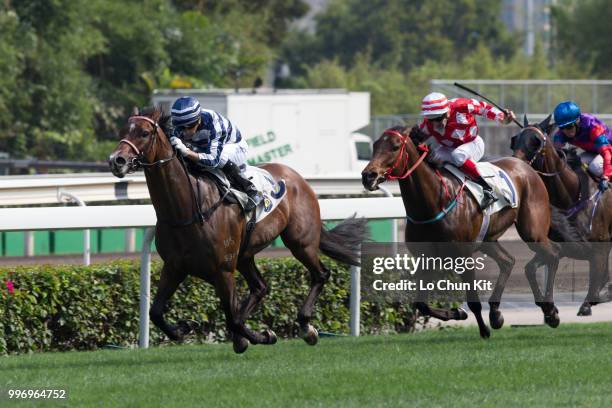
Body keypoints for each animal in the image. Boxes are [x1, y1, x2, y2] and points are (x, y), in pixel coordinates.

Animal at [107, 107, 366, 352]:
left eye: (144, 133)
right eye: (123, 131)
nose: (116, 160)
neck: (187, 210)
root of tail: (299, 178)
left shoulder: (223, 270)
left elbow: (232, 320)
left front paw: (264, 336)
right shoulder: (174, 266)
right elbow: (156, 312)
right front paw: (183, 328)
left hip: (300, 242)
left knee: (320, 274)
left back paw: (305, 327)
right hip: (245, 255)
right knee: (260, 288)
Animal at [364, 125, 584, 338]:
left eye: (394, 146)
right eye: (374, 146)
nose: (368, 176)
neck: (435, 201)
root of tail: (526, 167)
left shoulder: (463, 256)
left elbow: (473, 302)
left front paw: (483, 330)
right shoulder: (426, 257)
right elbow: (421, 304)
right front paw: (458, 313)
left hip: (532, 231)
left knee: (553, 252)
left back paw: (550, 311)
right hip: (488, 239)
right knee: (509, 261)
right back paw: (497, 313)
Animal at [512, 115, 612, 316]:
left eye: (535, 141)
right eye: (515, 139)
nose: (516, 165)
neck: (574, 195)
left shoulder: (600, 248)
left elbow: (597, 279)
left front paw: (587, 305)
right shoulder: (560, 246)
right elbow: (530, 268)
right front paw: (548, 307)